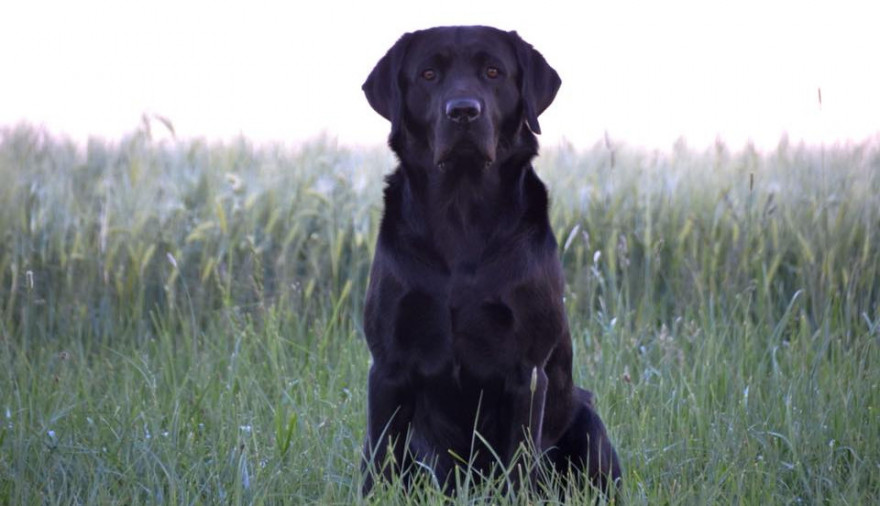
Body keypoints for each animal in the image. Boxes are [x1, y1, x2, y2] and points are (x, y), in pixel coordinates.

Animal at [358, 25, 620, 496]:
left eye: (493, 72)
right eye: (428, 74)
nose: (463, 111)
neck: (462, 213)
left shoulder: (526, 371)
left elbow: (519, 462)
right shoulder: (388, 365)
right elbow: (380, 459)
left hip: (588, 421)